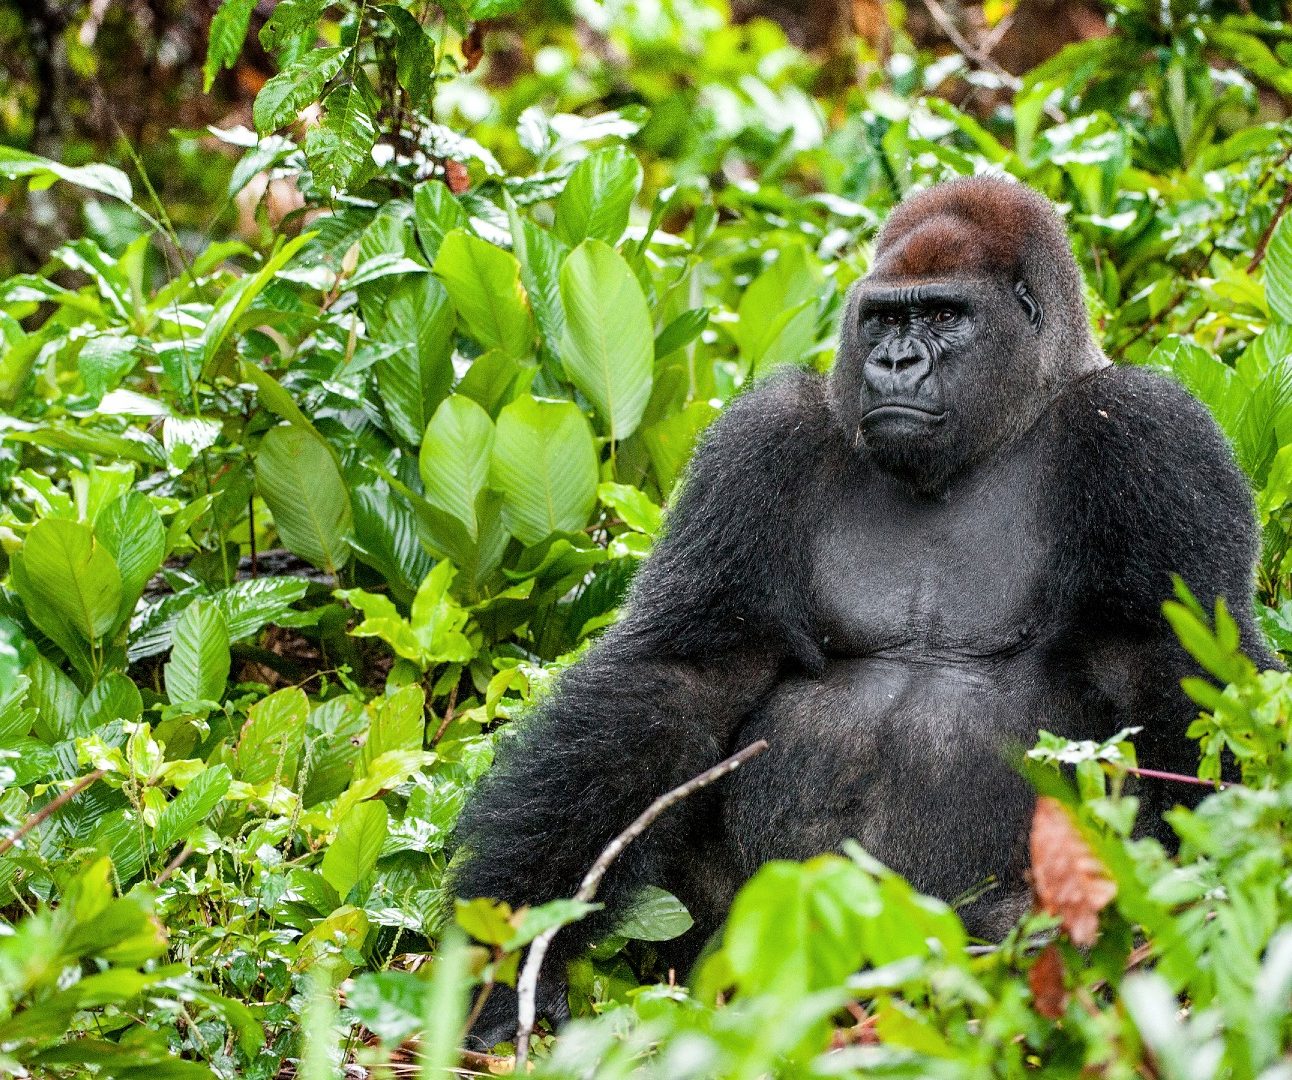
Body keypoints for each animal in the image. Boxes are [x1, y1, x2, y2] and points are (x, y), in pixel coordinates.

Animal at [454, 175, 1271, 1038]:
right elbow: (684, 677)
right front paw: (511, 951)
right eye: (882, 319)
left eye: (944, 316)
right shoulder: (762, 439)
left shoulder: (1153, 435)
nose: (894, 362)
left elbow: (1177, 672)